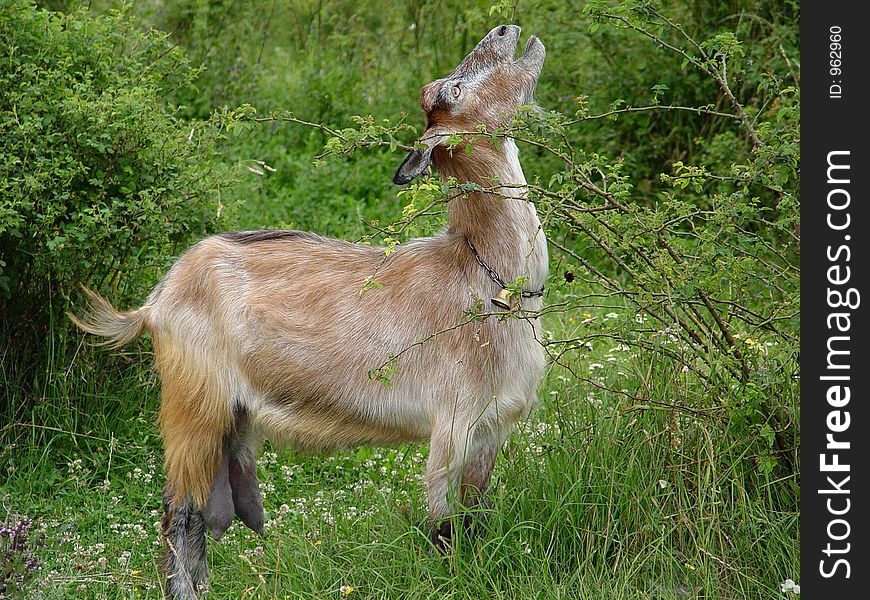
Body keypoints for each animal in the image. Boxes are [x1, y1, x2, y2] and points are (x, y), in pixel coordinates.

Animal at [73, 25, 552, 596]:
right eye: (452, 89)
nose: (505, 30)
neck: (482, 274)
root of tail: (158, 298)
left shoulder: (489, 430)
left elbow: (475, 518)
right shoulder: (451, 422)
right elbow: (443, 527)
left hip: (230, 418)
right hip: (195, 402)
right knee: (179, 515)